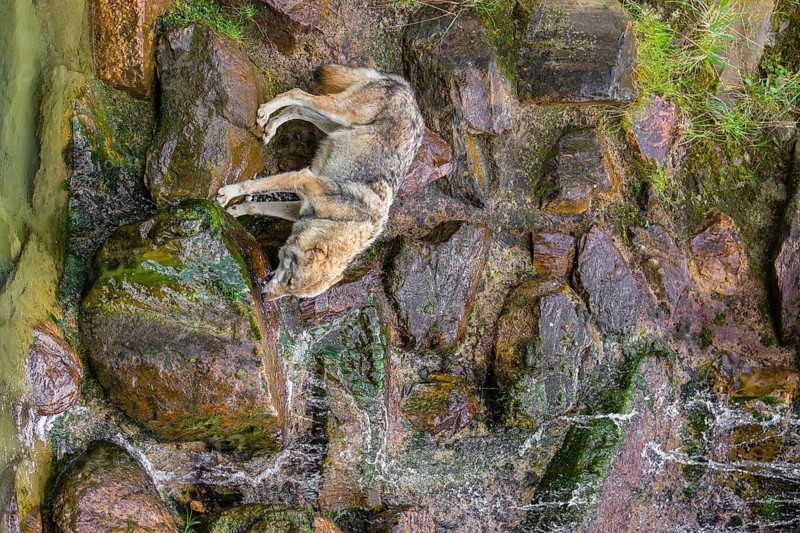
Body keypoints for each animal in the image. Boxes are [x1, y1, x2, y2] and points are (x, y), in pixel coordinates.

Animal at [216, 64, 425, 301]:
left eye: (293, 293)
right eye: (290, 281)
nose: (264, 298)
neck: (343, 221)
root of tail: (408, 88)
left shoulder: (299, 210)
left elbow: (255, 205)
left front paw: (233, 212)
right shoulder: (302, 179)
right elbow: (251, 186)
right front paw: (227, 193)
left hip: (331, 124)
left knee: (297, 110)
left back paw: (270, 128)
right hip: (339, 112)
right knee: (298, 94)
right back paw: (265, 113)